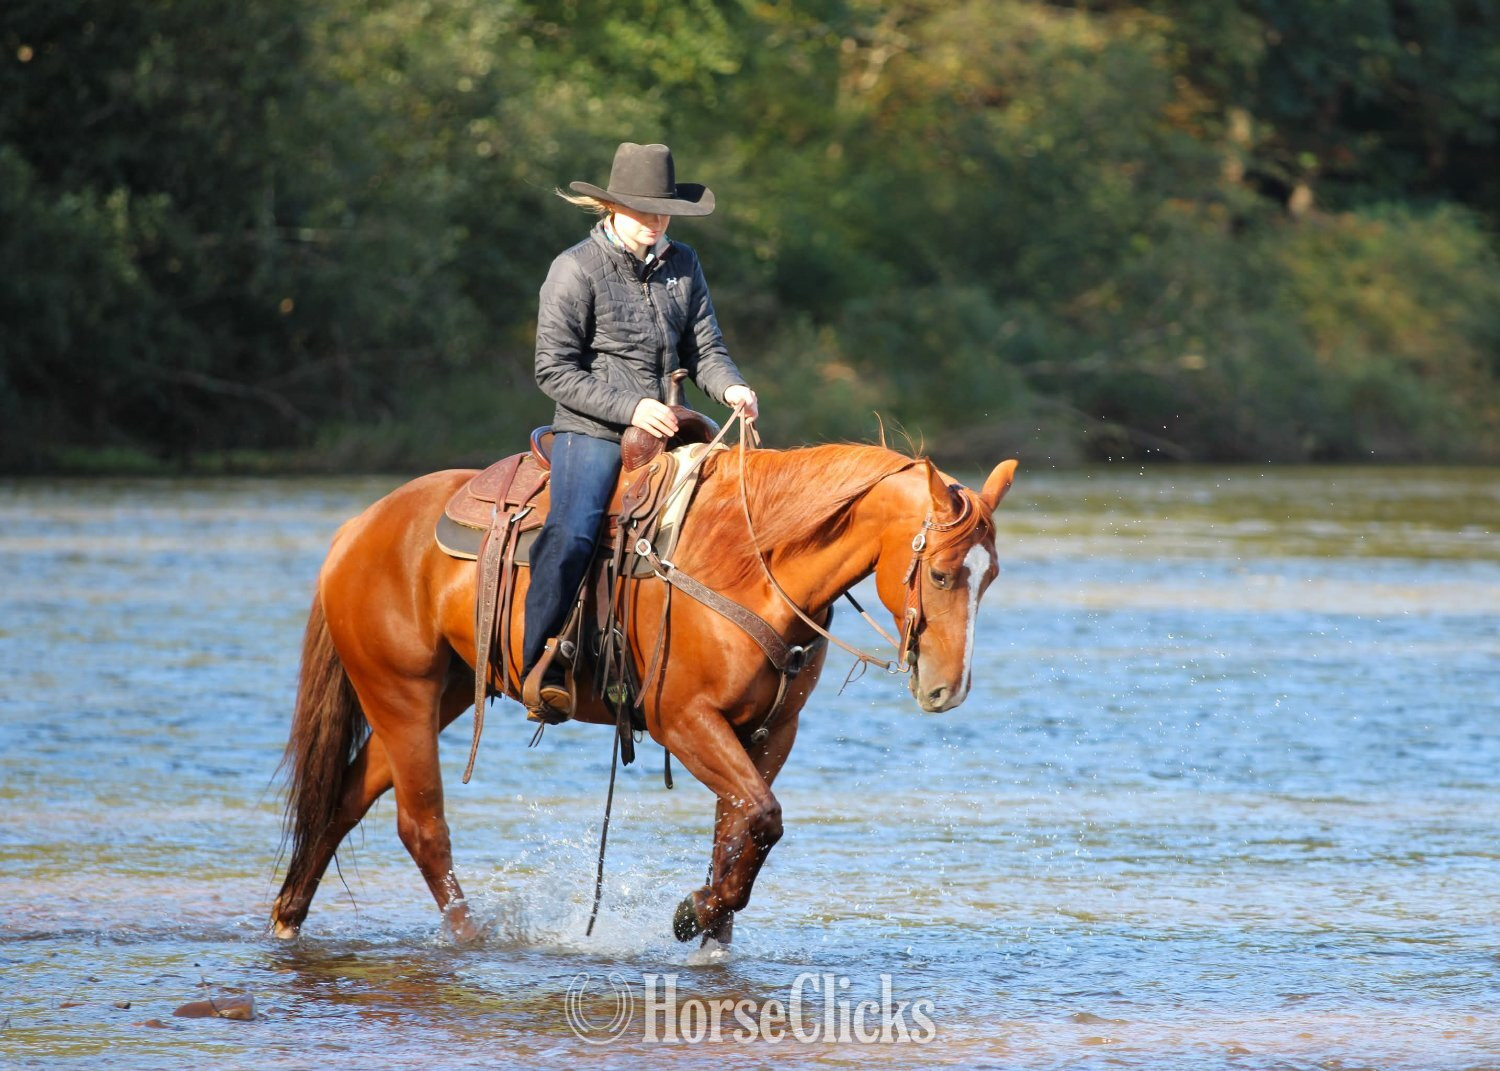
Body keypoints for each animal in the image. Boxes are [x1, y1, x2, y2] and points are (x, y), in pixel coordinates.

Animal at [270, 438, 1018, 945]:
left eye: (990, 575)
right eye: (942, 573)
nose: (948, 690)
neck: (751, 562)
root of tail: (358, 527)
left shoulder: (770, 731)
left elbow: (739, 827)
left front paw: (713, 923)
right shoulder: (681, 720)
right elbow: (762, 817)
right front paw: (696, 912)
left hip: (437, 693)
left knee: (343, 801)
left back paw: (287, 916)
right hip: (402, 693)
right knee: (421, 827)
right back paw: (472, 939)